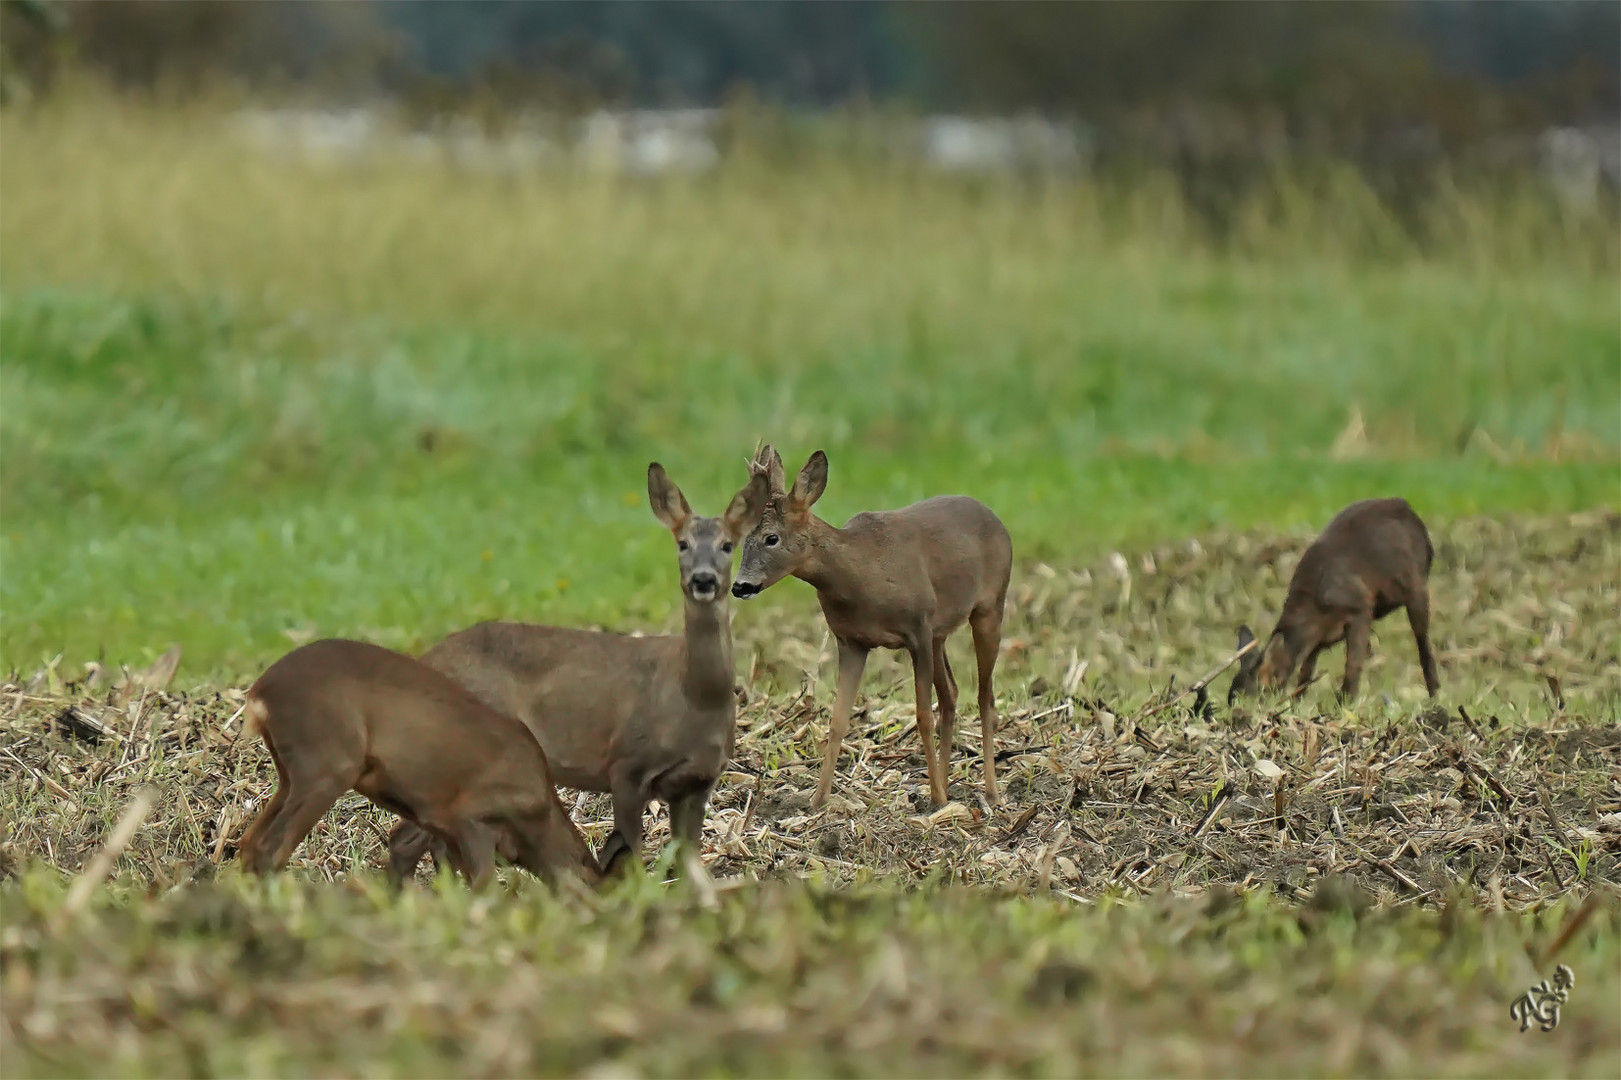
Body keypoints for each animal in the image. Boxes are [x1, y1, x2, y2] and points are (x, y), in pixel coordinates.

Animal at [235, 635, 603, 888]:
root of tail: (258, 694)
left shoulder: (446, 828)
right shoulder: (471, 815)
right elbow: (483, 885)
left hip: (290, 772)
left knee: (249, 842)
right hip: (327, 764)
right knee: (270, 848)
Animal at [389, 457, 774, 882]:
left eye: (727, 545)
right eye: (682, 543)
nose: (702, 579)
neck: (693, 696)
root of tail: (425, 660)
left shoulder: (699, 781)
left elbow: (688, 860)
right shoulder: (625, 763)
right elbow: (630, 853)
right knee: (409, 837)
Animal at [735, 441, 1011, 804]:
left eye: (771, 538)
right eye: (742, 539)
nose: (740, 586)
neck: (863, 574)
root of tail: (998, 520)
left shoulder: (917, 629)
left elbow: (923, 716)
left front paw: (935, 799)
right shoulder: (851, 640)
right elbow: (838, 720)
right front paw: (817, 800)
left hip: (990, 606)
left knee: (985, 697)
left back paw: (988, 793)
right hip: (940, 632)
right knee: (951, 694)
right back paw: (947, 785)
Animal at [1225, 492, 1445, 703]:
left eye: (1250, 696)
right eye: (1231, 697)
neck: (1313, 606)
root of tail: (1408, 508)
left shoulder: (1360, 609)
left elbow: (1352, 664)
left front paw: (1346, 703)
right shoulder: (1316, 639)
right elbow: (1305, 672)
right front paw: (1297, 703)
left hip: (1416, 586)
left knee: (1423, 644)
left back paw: (1435, 696)